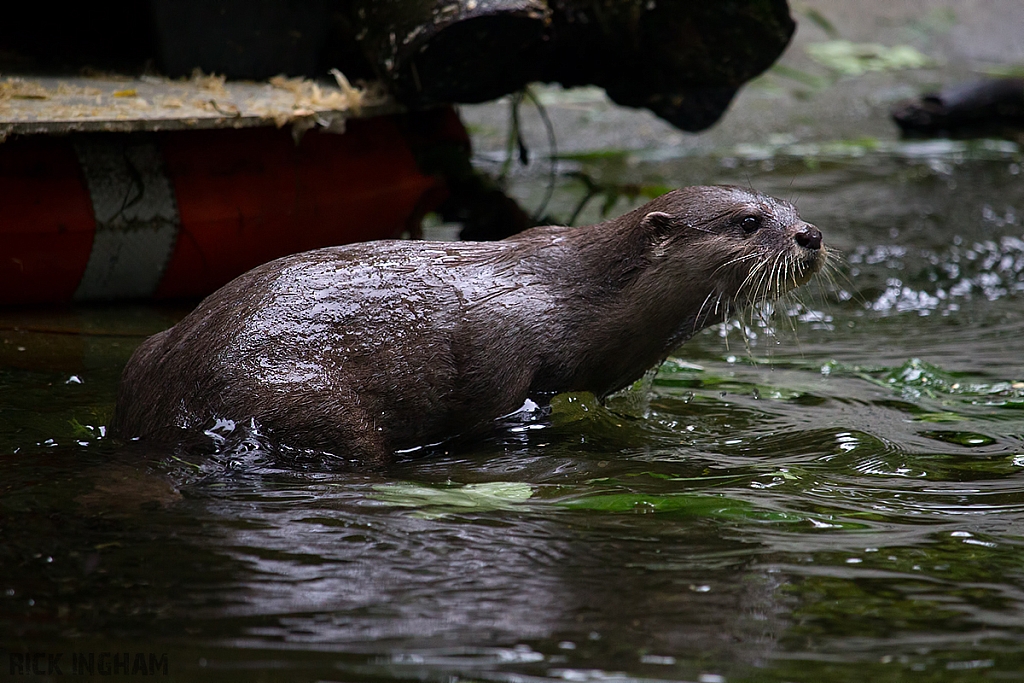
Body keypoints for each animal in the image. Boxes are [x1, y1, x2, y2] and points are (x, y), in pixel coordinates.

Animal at [114, 185, 823, 464]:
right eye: (748, 223)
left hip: (146, 353)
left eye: (789, 210)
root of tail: (168, 403)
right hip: (301, 398)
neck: (572, 299)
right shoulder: (503, 365)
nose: (810, 235)